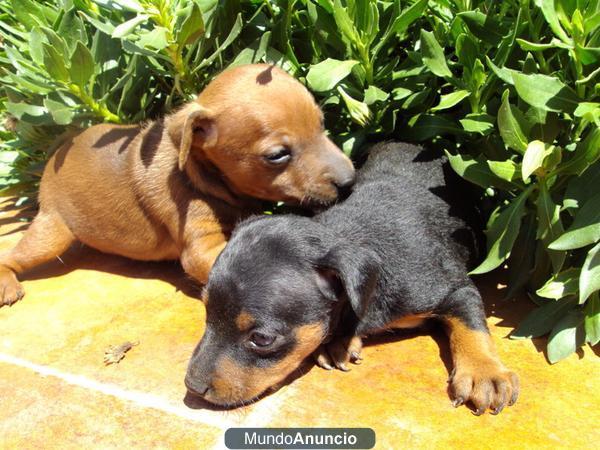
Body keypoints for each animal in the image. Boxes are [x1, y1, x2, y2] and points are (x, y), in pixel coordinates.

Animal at [0, 64, 354, 306]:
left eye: (322, 124)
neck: (200, 175)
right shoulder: (201, 245)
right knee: (14, 254)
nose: (350, 181)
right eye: (277, 155)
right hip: (52, 232)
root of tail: (57, 151)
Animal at [185, 141, 516, 414]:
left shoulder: (454, 287)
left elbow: (470, 325)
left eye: (262, 339)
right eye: (207, 312)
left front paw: (485, 373)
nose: (192, 387)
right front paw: (340, 341)